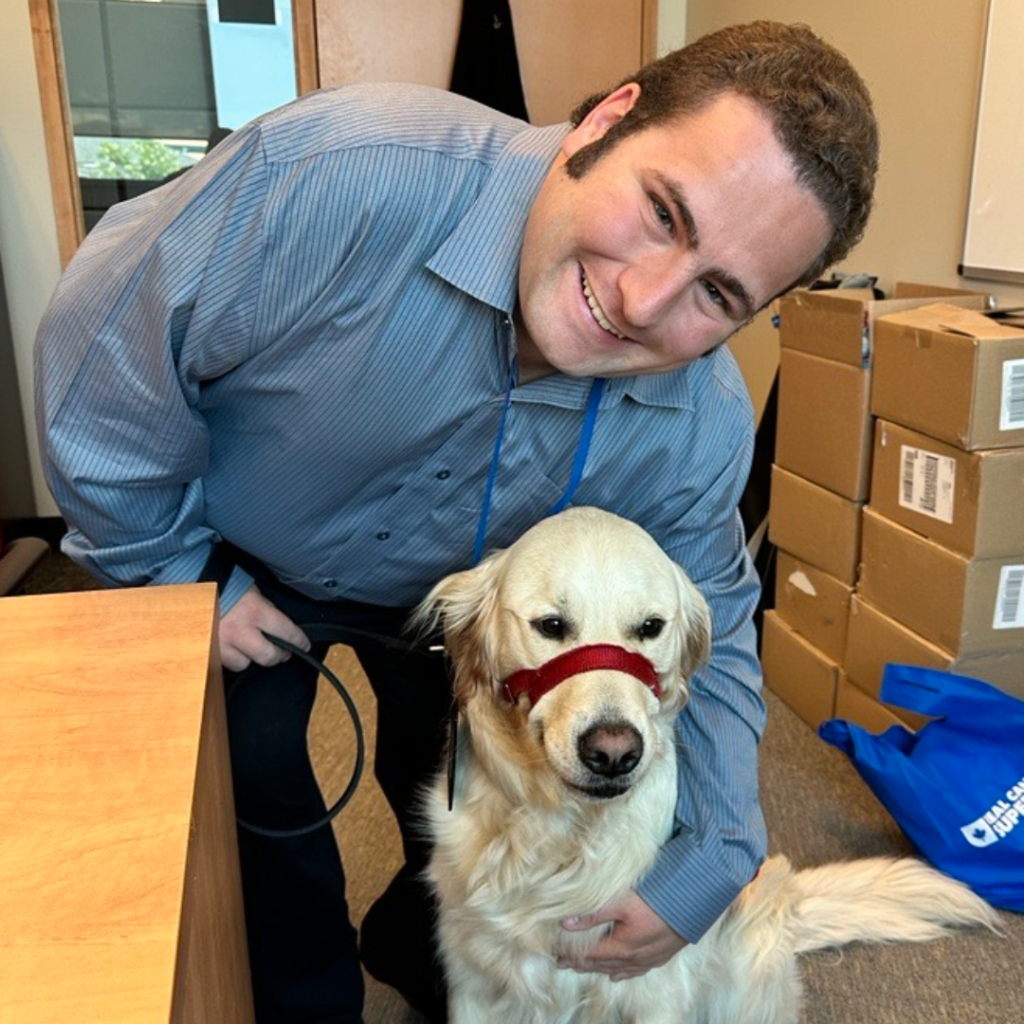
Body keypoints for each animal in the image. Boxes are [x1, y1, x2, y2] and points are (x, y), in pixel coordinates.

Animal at [409, 505, 999, 1024]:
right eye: (550, 625)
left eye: (651, 626)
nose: (614, 753)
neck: (558, 835)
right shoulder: (473, 982)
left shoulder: (652, 984)